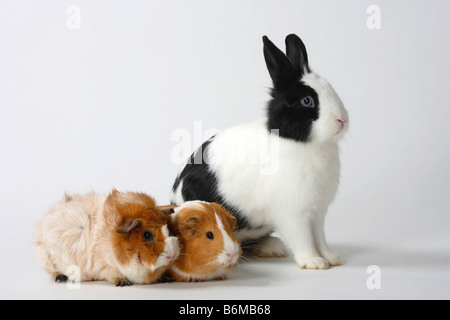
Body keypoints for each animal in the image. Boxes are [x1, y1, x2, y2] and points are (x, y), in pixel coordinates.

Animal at [171, 34, 350, 270]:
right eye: (307, 101)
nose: (342, 119)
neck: (302, 143)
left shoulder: (318, 213)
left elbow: (320, 237)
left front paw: (331, 258)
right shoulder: (294, 213)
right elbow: (303, 238)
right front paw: (314, 262)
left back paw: (273, 247)